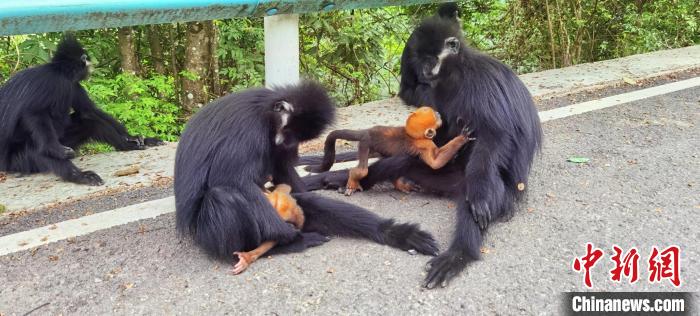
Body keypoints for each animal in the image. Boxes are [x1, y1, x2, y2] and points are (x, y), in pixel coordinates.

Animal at [0, 35, 163, 185]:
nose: (91, 66)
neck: (59, 71)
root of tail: (5, 165)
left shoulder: (73, 85)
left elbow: (89, 111)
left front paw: (132, 137)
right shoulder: (56, 82)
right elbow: (33, 113)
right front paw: (54, 149)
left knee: (91, 122)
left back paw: (127, 146)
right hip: (19, 160)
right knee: (36, 149)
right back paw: (78, 176)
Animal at [175, 82, 438, 266]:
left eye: (296, 136)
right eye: (287, 129)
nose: (285, 142)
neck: (265, 111)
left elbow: (289, 181)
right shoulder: (248, 127)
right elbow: (231, 180)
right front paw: (287, 235)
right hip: (205, 232)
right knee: (224, 195)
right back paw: (285, 244)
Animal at [308, 107, 476, 195]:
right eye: (436, 116)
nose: (440, 114)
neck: (414, 136)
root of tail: (367, 131)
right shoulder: (425, 143)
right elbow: (436, 163)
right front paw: (462, 138)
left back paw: (399, 184)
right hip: (365, 143)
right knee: (362, 171)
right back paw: (353, 179)